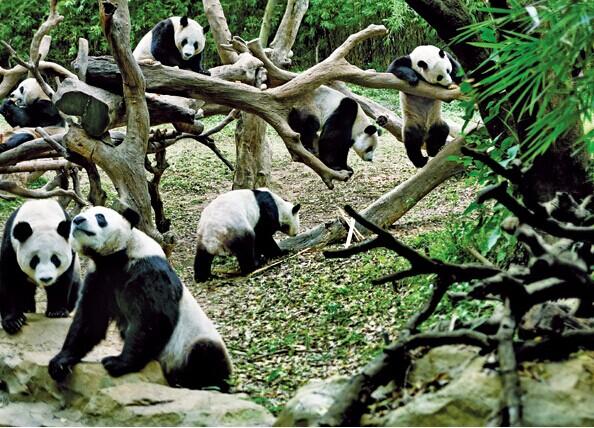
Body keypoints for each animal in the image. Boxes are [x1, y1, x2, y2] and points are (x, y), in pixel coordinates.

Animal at [0, 199, 80, 336]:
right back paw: (26, 308)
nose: (46, 279)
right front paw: (14, 321)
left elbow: (62, 280)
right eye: (34, 260)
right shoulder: (10, 245)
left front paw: (56, 311)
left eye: (55, 259)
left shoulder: (71, 251)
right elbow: (10, 281)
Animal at [47, 206, 232, 392]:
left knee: (205, 358)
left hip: (191, 343)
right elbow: (91, 319)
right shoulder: (99, 277)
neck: (114, 258)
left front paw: (117, 363)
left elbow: (152, 319)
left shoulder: (148, 270)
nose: (78, 220)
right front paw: (60, 362)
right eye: (80, 215)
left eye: (100, 217)